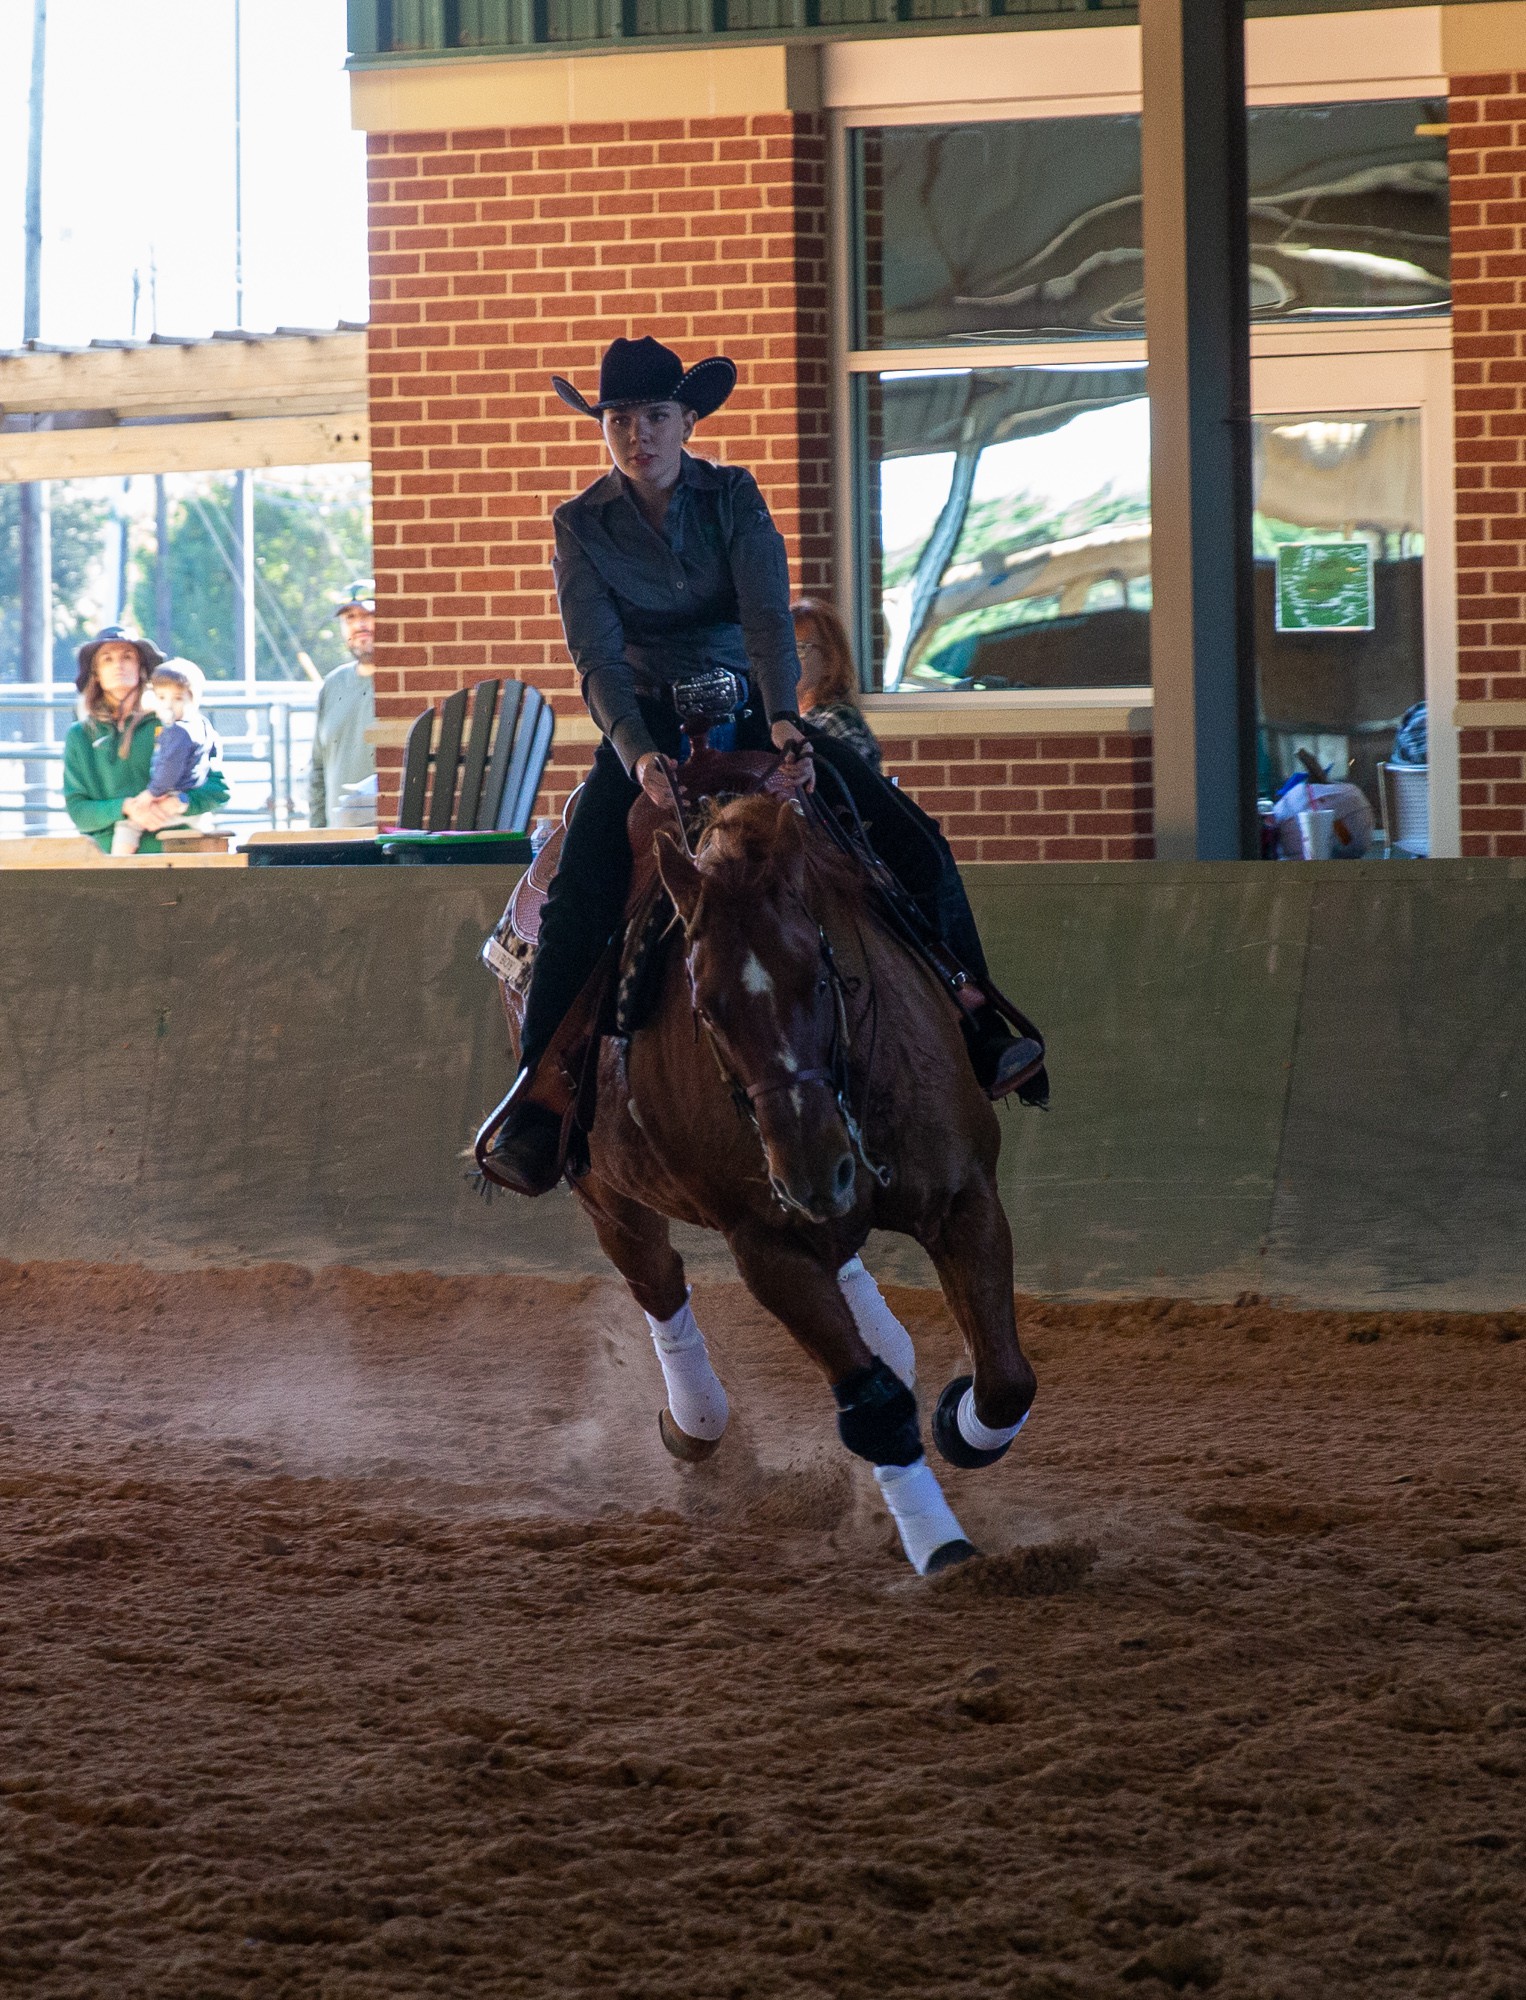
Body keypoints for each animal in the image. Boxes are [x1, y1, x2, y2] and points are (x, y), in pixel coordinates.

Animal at [496, 788, 1032, 1568]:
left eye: (820, 974)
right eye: (703, 1007)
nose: (810, 1170)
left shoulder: (966, 1198)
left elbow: (1003, 1382)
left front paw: (956, 1424)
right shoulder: (767, 1248)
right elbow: (873, 1407)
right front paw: (941, 1549)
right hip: (606, 1194)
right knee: (657, 1280)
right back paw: (697, 1420)